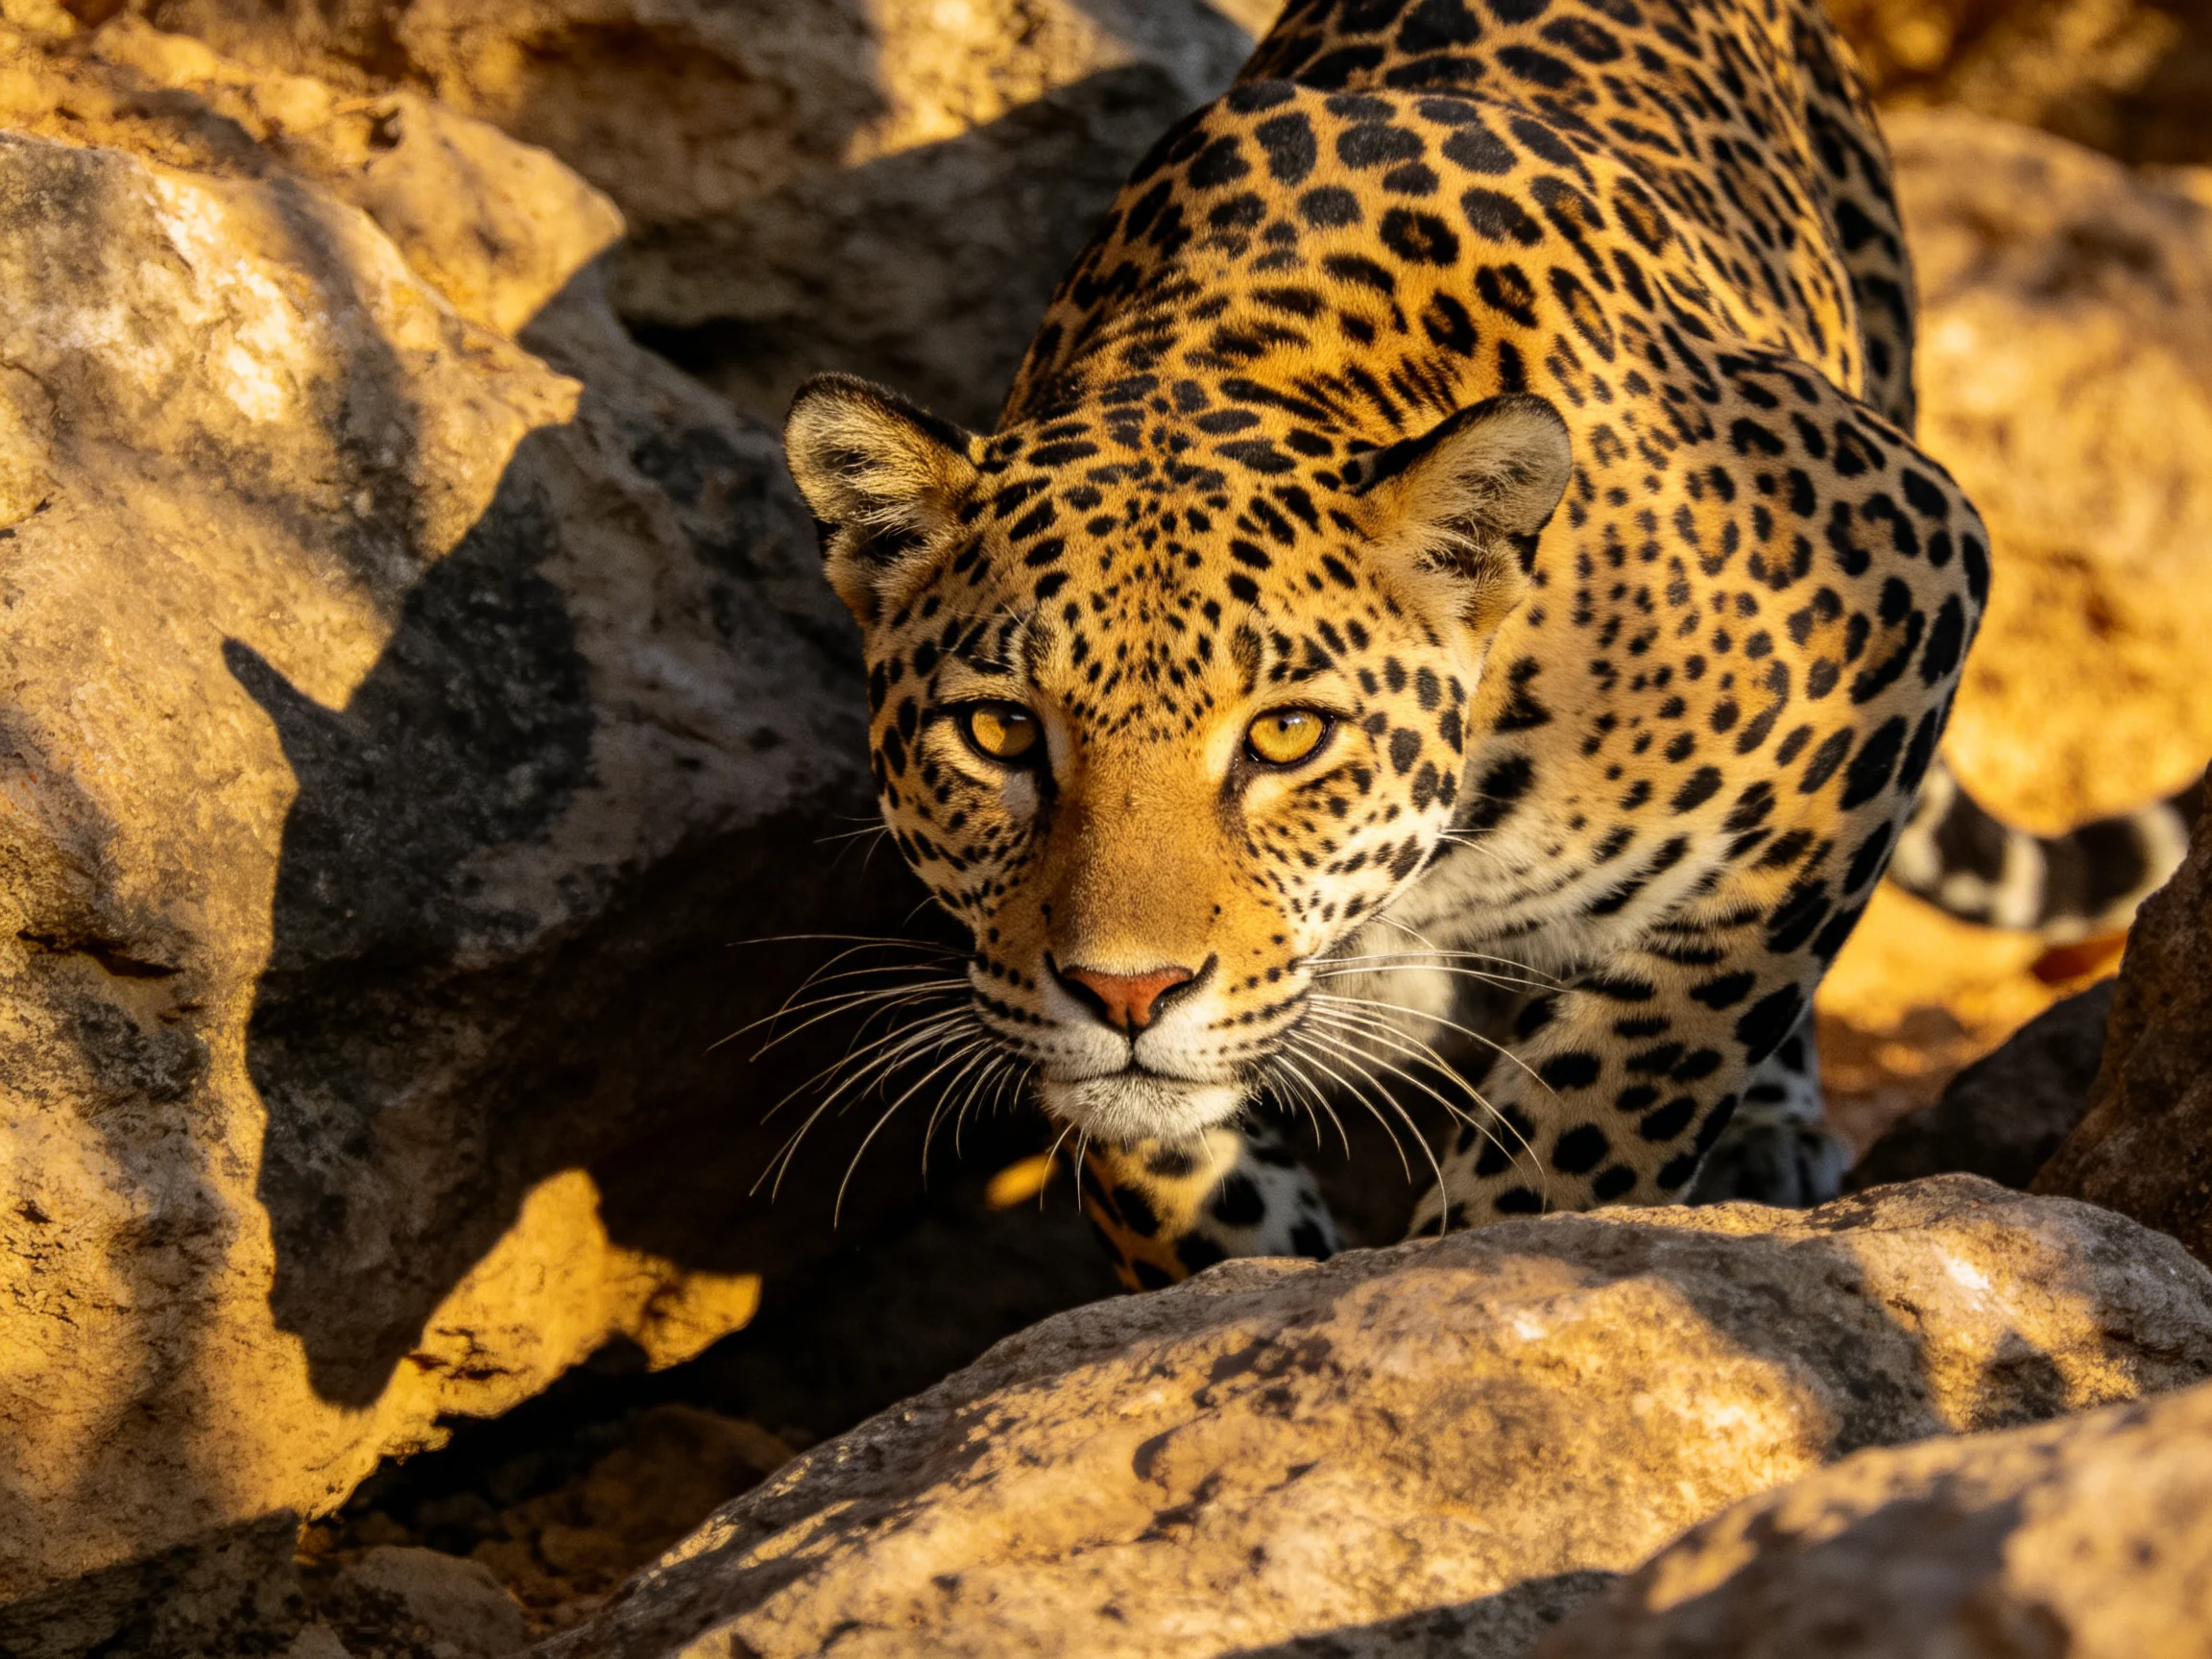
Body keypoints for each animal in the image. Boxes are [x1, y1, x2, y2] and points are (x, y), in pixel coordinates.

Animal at [780, 0, 2200, 1290]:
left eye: (1286, 735)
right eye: (998, 731)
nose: (1128, 997)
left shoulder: (1896, 599)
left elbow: (1617, 1092)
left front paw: (1466, 1272)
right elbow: (1170, 1180)